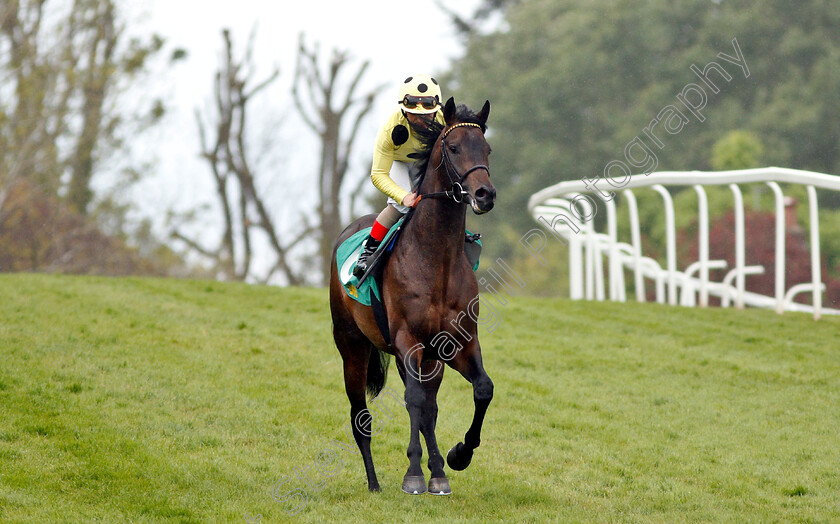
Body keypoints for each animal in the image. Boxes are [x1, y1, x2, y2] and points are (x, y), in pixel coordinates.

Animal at [328, 97, 496, 496]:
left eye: (487, 149)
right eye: (454, 148)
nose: (485, 194)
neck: (437, 259)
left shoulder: (457, 343)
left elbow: (481, 389)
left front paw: (457, 456)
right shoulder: (408, 340)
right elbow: (414, 402)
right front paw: (414, 474)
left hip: (428, 360)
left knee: (428, 409)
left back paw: (438, 471)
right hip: (352, 347)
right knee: (361, 417)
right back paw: (374, 483)